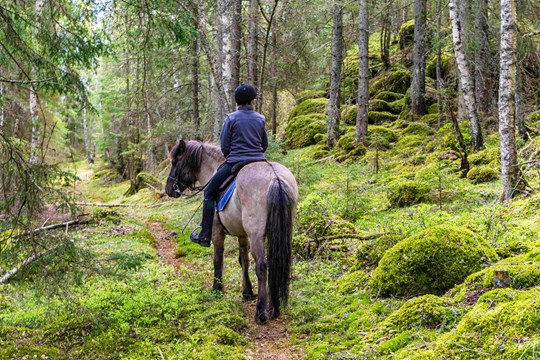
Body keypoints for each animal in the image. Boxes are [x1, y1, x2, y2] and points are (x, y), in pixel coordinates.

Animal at [165, 140, 300, 324]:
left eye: (174, 162)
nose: (168, 189)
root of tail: (275, 178)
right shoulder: (242, 235)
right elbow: (244, 261)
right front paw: (247, 292)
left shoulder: (217, 232)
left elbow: (218, 260)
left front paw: (217, 289)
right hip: (282, 233)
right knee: (276, 263)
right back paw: (274, 308)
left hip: (257, 235)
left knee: (262, 266)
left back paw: (261, 312)